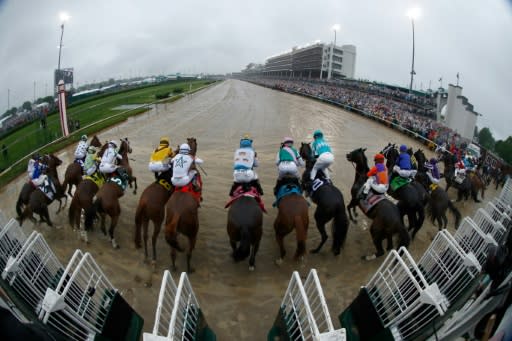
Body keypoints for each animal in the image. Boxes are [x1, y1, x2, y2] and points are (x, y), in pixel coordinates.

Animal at [163, 137, 199, 272]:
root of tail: (177, 213)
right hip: (192, 232)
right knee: (189, 252)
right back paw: (190, 269)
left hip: (170, 228)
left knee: (172, 253)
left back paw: (173, 267)